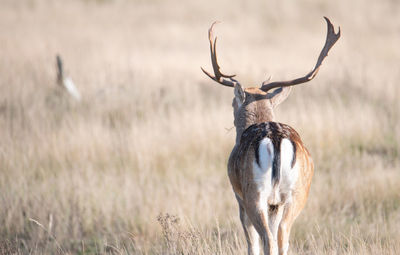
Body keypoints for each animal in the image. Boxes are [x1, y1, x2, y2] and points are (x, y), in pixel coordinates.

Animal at [202, 16, 340, 254]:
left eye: (232, 102)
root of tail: (276, 139)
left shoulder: (238, 195)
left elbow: (252, 241)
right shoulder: (276, 203)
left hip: (255, 193)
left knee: (267, 237)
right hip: (296, 193)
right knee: (283, 234)